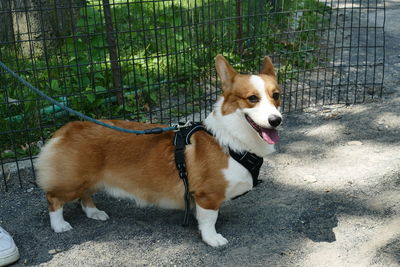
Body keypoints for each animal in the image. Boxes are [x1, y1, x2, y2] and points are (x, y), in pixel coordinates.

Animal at [36, 55, 282, 248]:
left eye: (277, 95)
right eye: (252, 98)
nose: (276, 120)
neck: (230, 140)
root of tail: (68, 128)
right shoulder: (208, 195)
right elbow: (209, 220)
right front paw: (213, 239)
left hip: (90, 179)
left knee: (84, 195)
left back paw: (94, 213)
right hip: (72, 181)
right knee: (54, 198)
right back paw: (60, 225)